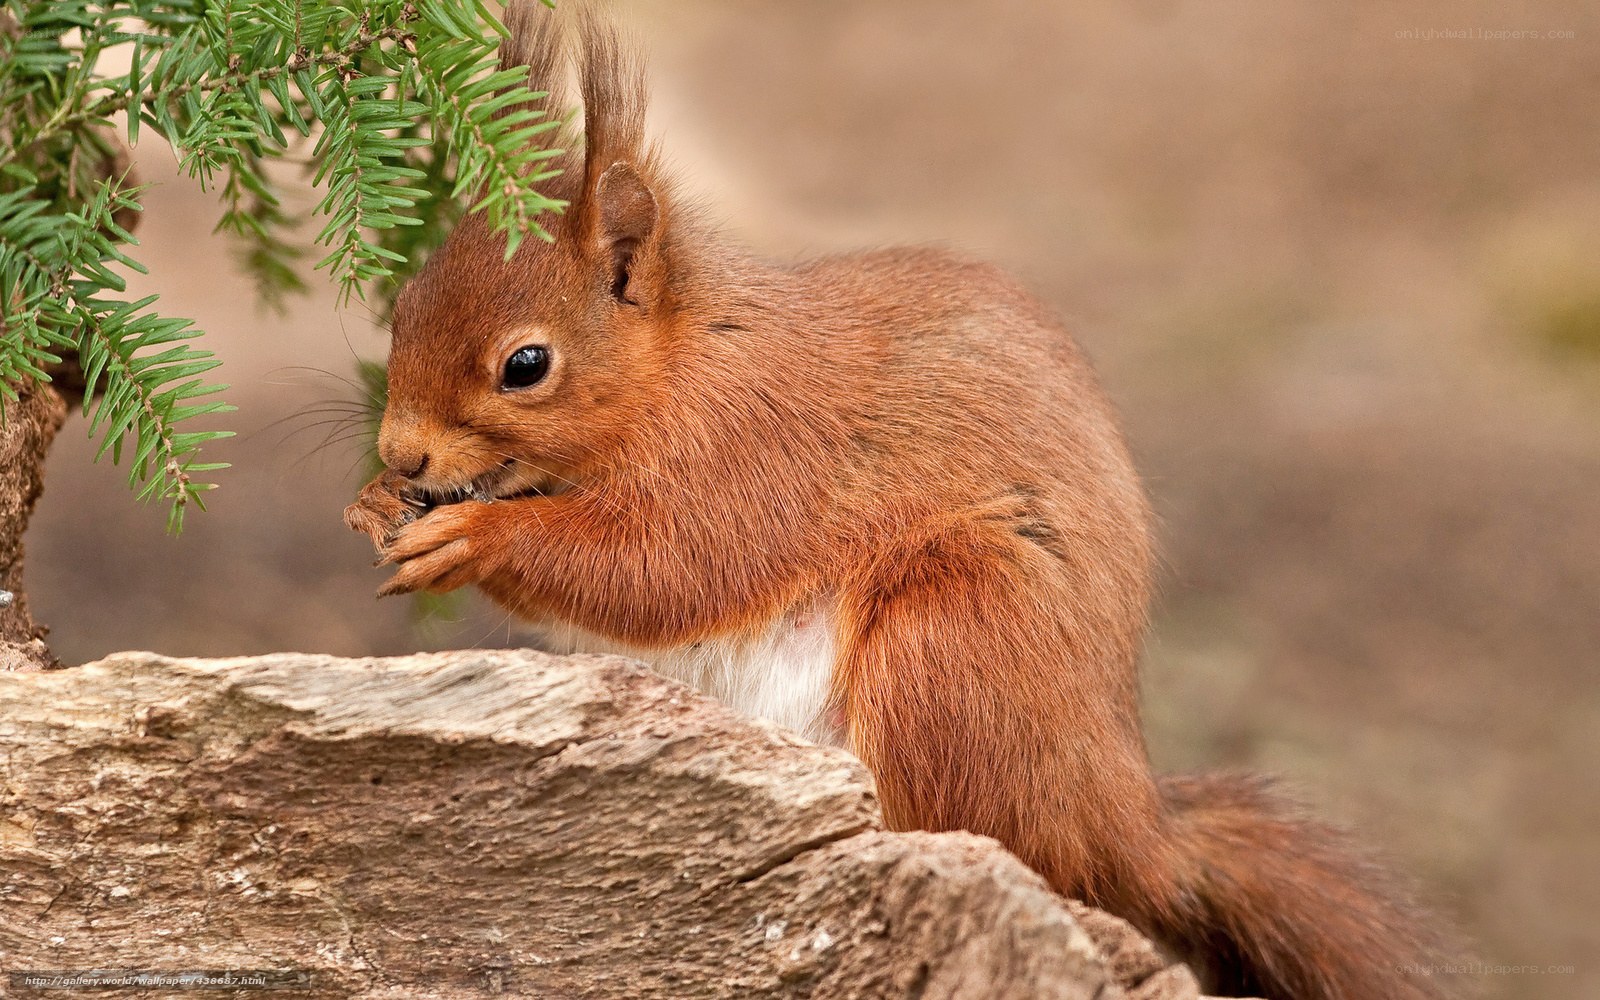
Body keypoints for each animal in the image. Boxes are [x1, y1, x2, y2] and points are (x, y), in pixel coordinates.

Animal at [344, 4, 1454, 997]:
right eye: (403, 308)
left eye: (525, 365)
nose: (400, 450)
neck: (684, 361)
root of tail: (1127, 822)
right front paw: (374, 502)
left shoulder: (759, 450)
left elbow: (665, 567)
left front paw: (473, 537)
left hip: (955, 636)